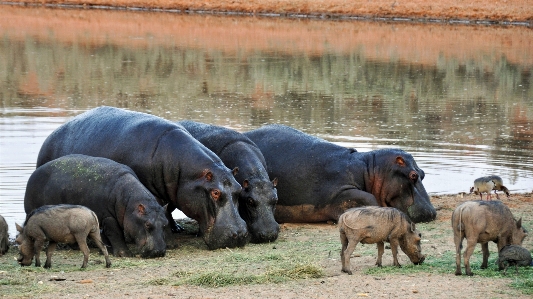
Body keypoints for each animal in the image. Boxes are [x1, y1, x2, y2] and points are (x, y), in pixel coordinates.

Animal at [23, 155, 166, 258]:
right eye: (147, 224)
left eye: (166, 223)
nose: (159, 252)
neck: (130, 203)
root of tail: (33, 174)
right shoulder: (108, 217)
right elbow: (115, 234)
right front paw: (124, 254)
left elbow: (105, 235)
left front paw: (106, 249)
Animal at [35, 106, 247, 250]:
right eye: (215, 192)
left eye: (239, 189)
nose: (239, 234)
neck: (188, 172)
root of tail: (49, 137)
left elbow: (167, 210)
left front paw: (174, 231)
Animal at [245, 125, 436, 225]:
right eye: (413, 175)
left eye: (423, 173)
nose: (433, 212)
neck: (370, 170)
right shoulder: (341, 191)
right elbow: (368, 198)